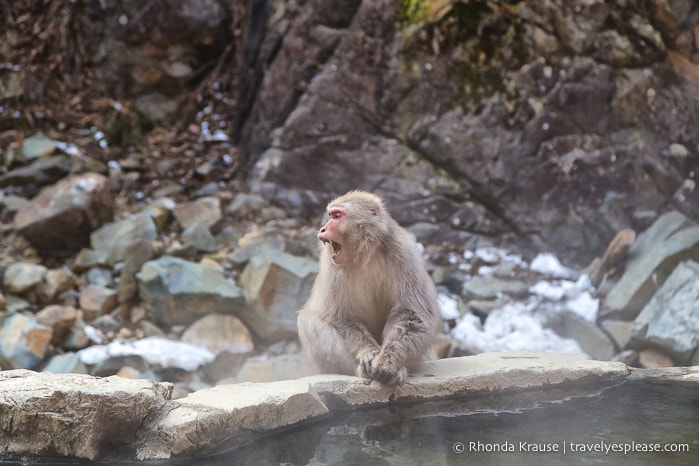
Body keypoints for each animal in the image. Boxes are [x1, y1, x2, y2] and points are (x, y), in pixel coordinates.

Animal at [297, 191, 441, 386]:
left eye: (336, 216)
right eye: (330, 215)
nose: (323, 229)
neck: (365, 254)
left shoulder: (404, 253)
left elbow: (412, 315)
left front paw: (386, 363)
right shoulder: (331, 267)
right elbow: (340, 317)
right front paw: (369, 352)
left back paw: (399, 371)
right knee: (307, 321)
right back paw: (361, 371)